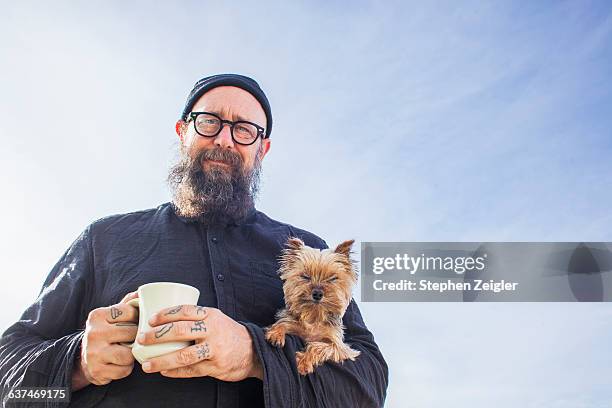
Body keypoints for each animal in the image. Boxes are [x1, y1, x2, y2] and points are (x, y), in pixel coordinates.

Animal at [266, 237, 360, 374]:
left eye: (332, 278)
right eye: (305, 276)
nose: (317, 293)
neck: (314, 315)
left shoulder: (340, 348)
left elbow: (318, 346)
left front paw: (304, 362)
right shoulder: (292, 322)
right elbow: (283, 323)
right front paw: (276, 333)